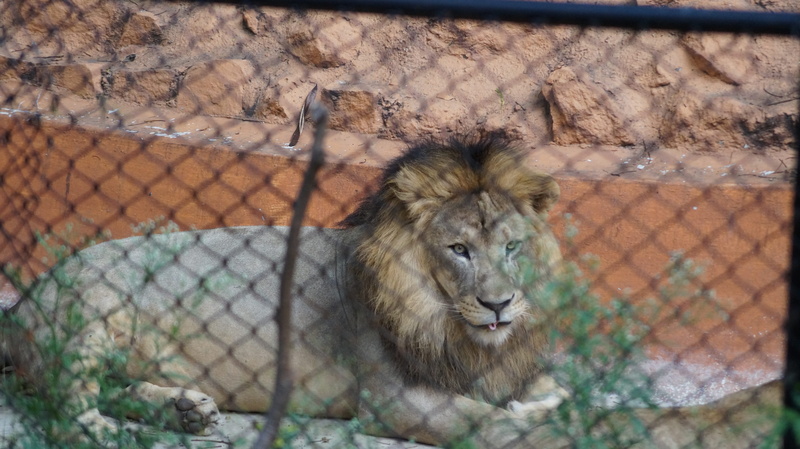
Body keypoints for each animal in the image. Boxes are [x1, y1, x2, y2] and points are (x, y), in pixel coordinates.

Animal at [0, 136, 780, 447]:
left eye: (511, 247)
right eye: (458, 250)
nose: (500, 303)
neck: (452, 323)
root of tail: (25, 301)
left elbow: (551, 388)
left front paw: (550, 399)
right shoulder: (392, 396)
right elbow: (486, 421)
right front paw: (542, 422)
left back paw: (188, 410)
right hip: (93, 306)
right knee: (63, 399)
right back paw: (112, 428)